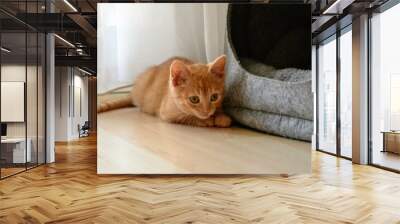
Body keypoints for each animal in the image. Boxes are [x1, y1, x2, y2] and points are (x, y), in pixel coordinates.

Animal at [97, 55, 231, 128]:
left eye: (214, 97)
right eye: (194, 99)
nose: (206, 112)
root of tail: (134, 93)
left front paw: (222, 117)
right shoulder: (167, 113)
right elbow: (188, 117)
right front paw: (206, 120)